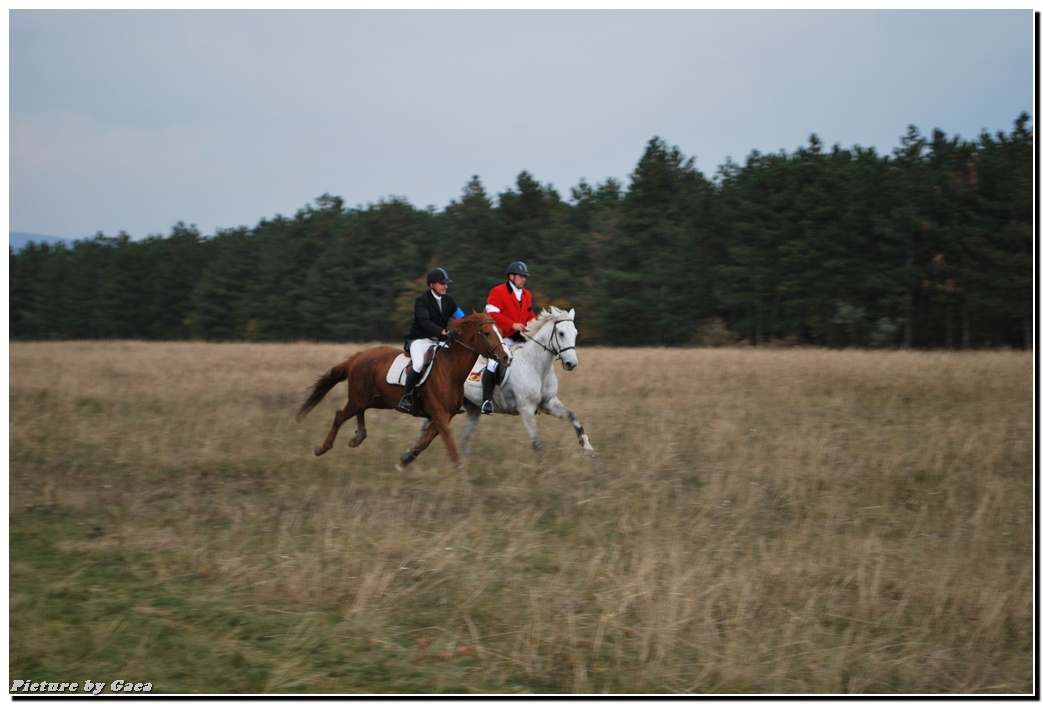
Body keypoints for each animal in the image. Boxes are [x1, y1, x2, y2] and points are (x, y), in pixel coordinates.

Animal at [296, 312, 511, 467]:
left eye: (500, 331)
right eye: (487, 333)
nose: (507, 358)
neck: (451, 369)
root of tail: (359, 355)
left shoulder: (443, 417)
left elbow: (424, 442)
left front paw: (405, 459)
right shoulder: (440, 415)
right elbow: (450, 445)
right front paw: (460, 473)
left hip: (374, 399)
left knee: (359, 411)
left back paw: (358, 437)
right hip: (359, 396)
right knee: (340, 415)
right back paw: (323, 447)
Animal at [458, 304, 596, 458]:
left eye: (575, 333)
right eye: (561, 333)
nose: (571, 363)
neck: (536, 367)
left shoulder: (549, 402)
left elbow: (573, 417)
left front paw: (587, 446)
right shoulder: (526, 408)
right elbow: (536, 443)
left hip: (473, 408)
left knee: (464, 438)